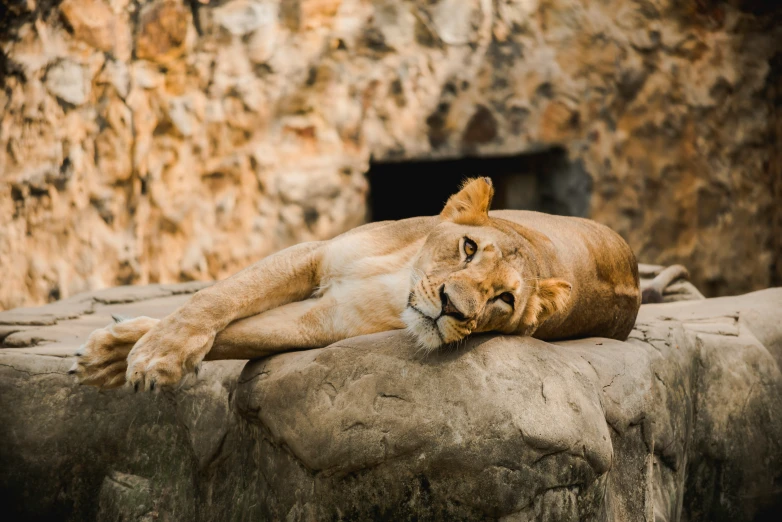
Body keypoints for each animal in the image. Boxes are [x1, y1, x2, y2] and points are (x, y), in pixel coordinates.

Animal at [70, 177, 644, 388]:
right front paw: (143, 355)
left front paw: (134, 359)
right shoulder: (315, 254)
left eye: (504, 299)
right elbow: (217, 299)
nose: (452, 307)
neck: (399, 277)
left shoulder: (327, 321)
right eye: (468, 248)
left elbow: (233, 333)